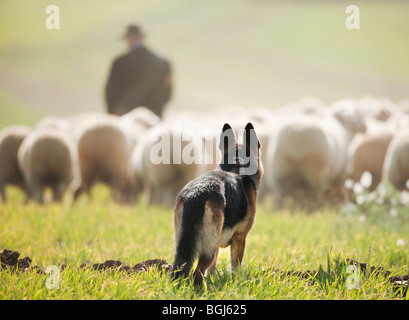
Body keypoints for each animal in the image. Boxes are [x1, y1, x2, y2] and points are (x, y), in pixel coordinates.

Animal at [168, 122, 262, 284]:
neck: (236, 166)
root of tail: (196, 194)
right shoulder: (239, 238)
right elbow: (235, 267)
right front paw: (237, 283)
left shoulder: (218, 243)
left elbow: (212, 270)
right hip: (208, 248)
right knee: (198, 272)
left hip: (183, 245)